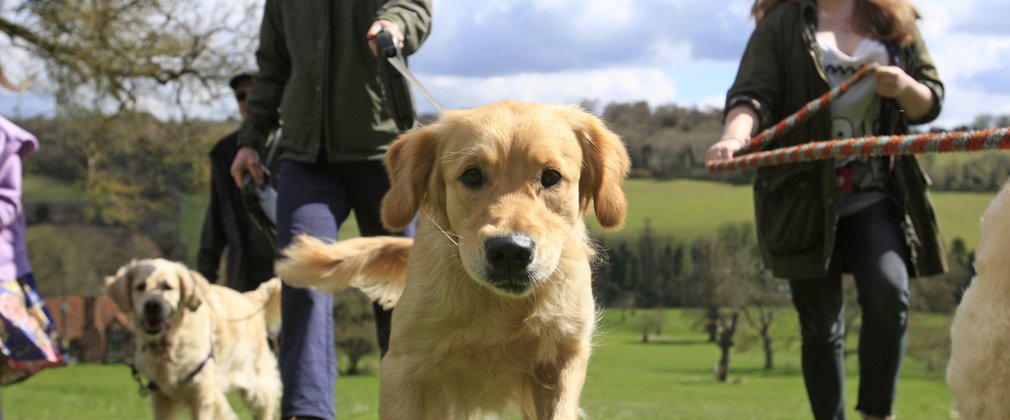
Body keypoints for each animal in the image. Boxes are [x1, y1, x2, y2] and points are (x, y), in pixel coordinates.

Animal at [272, 99, 626, 417]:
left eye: (551, 176)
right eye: (472, 176)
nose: (510, 252)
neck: (498, 303)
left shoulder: (562, 360)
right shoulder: (405, 367)